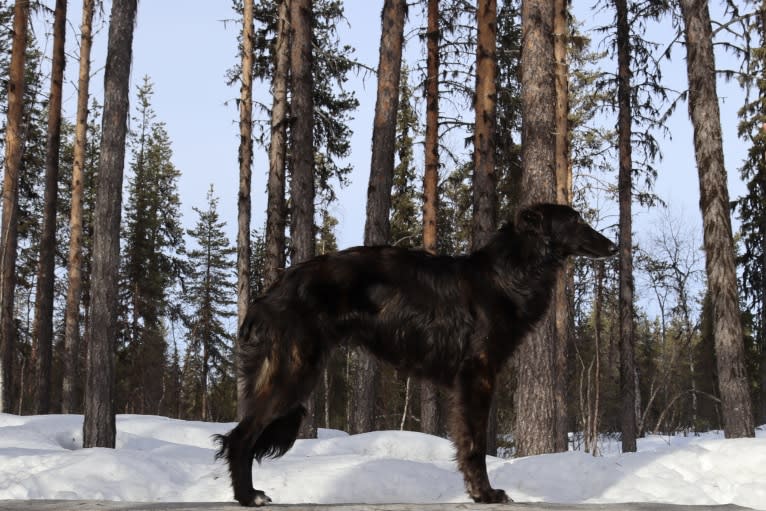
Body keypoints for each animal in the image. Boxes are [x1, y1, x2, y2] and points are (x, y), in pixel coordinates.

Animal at [214, 202, 616, 506]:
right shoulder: (477, 374)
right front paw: (485, 494)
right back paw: (248, 496)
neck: (507, 274)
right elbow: (475, 443)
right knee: (240, 437)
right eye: (575, 220)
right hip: (292, 371)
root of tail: (270, 293)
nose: (614, 247)